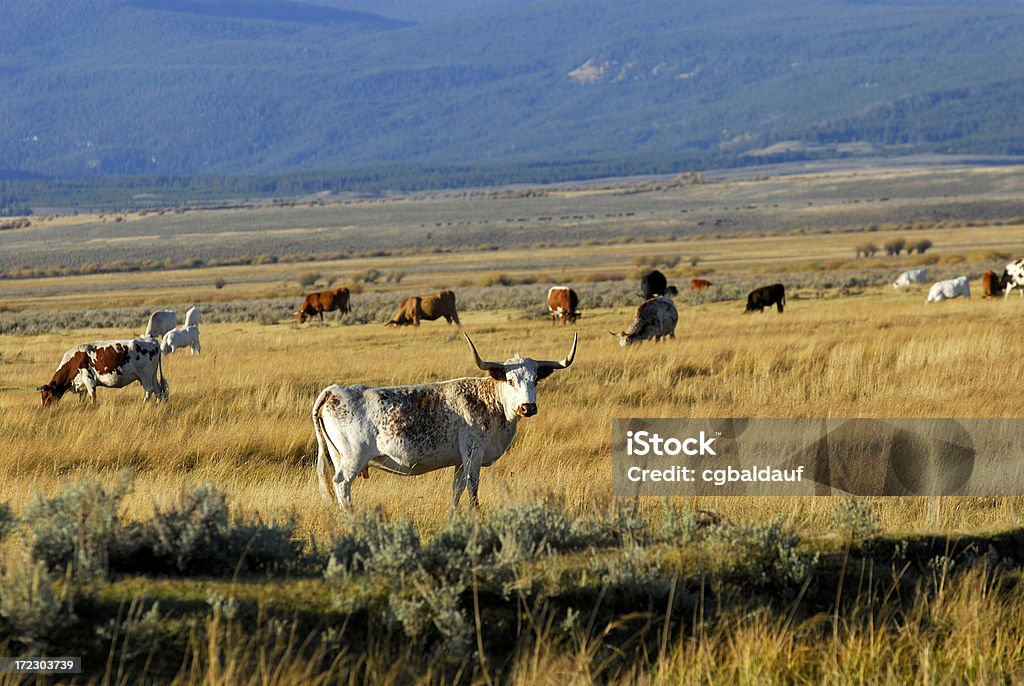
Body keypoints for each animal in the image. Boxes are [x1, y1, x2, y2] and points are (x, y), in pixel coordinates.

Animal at [38, 339, 167, 405]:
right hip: (152, 375)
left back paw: (143, 405)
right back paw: (157, 405)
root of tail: (152, 342)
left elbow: (93, 396)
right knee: (158, 391)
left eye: (46, 395)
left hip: (145, 375)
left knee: (149, 391)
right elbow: (82, 398)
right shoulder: (81, 385)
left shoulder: (89, 379)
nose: (45, 408)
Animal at [309, 329, 577, 513]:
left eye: (536, 380)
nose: (527, 407)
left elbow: (457, 488)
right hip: (352, 458)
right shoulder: (473, 453)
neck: (488, 401)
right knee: (342, 484)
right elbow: (472, 486)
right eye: (510, 381)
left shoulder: (459, 460)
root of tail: (333, 391)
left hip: (337, 455)